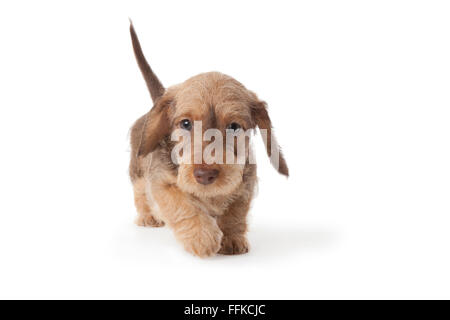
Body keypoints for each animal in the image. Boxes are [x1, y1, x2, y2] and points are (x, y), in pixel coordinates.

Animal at [127, 21, 288, 258]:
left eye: (233, 127)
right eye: (185, 123)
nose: (204, 175)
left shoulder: (245, 185)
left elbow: (235, 213)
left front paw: (232, 238)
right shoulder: (162, 183)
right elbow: (183, 206)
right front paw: (201, 237)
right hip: (138, 171)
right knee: (139, 193)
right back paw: (148, 216)